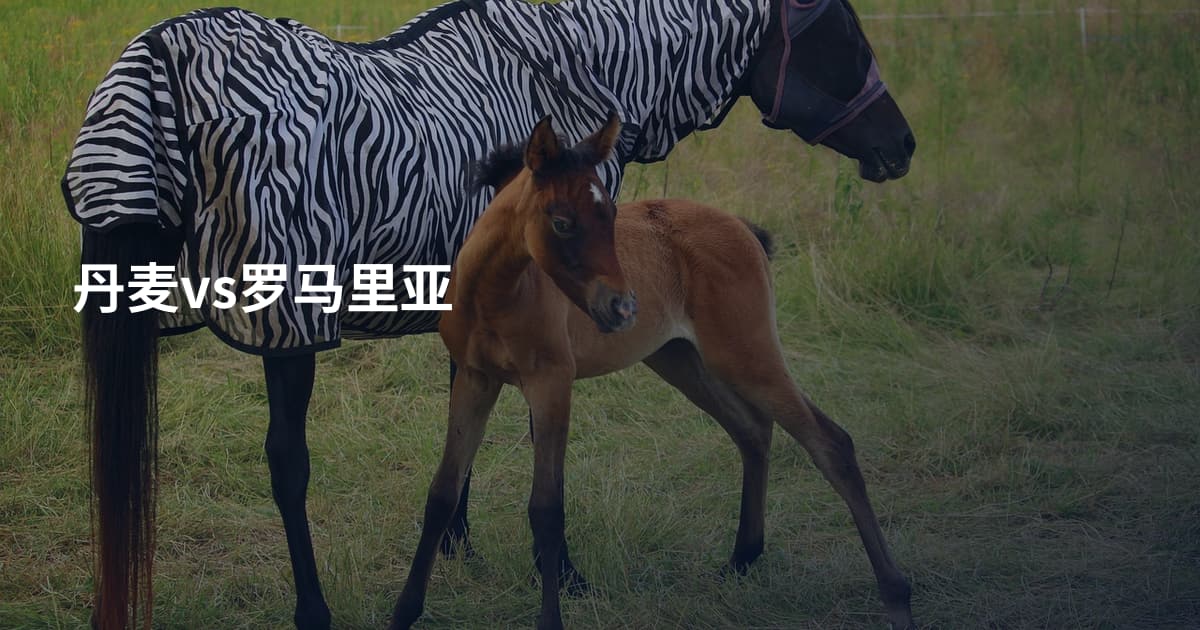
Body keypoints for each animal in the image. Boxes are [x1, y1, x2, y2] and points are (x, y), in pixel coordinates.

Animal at [389, 114, 913, 629]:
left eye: (611, 215)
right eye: (562, 222)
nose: (621, 306)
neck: (494, 294)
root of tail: (742, 226)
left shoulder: (551, 384)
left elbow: (547, 509)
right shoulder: (475, 379)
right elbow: (442, 494)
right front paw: (403, 612)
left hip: (746, 353)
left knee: (830, 443)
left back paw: (896, 594)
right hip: (683, 359)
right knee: (752, 430)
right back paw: (742, 559)